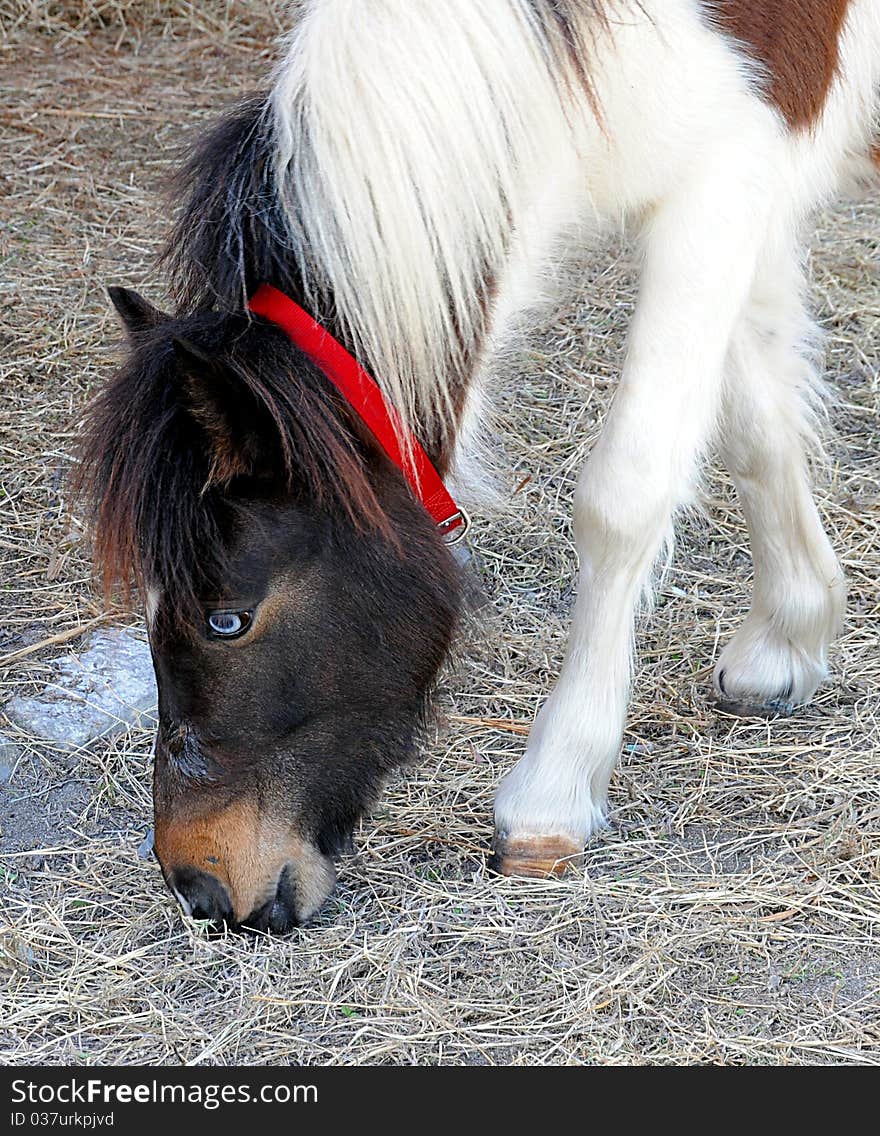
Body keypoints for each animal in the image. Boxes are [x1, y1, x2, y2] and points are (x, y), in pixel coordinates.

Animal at [78, 2, 876, 931]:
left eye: (226, 619)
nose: (198, 886)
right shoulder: (744, 186)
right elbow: (753, 420)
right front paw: (790, 634)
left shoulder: (722, 176)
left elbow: (626, 495)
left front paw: (552, 792)